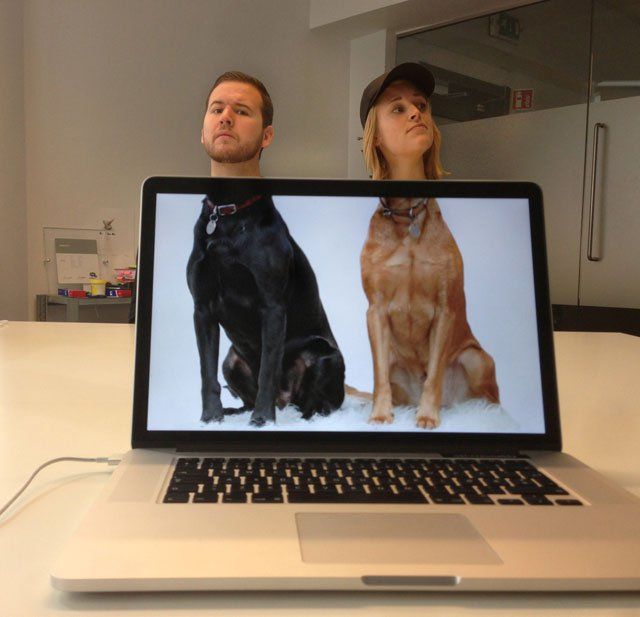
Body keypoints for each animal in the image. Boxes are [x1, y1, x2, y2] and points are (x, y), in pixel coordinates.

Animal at [186, 191, 344, 424]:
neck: (229, 217)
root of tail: (283, 402)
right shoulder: (203, 308)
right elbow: (207, 373)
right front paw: (211, 417)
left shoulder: (272, 307)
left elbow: (267, 371)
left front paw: (262, 419)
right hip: (230, 363)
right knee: (246, 401)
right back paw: (232, 412)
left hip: (324, 355)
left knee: (319, 407)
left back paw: (302, 418)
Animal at [360, 197, 500, 428]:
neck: (406, 218)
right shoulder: (376, 311)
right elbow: (379, 376)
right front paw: (379, 414)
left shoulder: (444, 312)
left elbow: (434, 375)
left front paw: (427, 416)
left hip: (476, 359)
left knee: (492, 401)